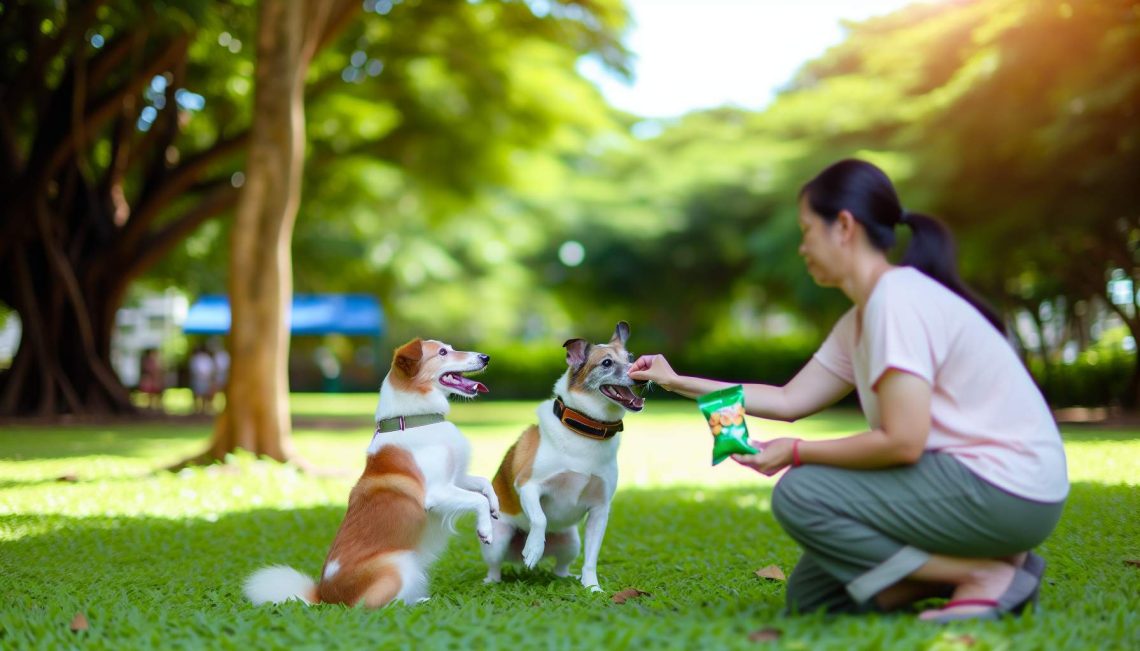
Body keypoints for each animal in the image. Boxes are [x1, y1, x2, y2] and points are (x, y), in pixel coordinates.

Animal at [245, 339, 499, 611]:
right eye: (442, 352)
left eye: (449, 348)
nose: (486, 357)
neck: (415, 419)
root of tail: (326, 597)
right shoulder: (437, 492)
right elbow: (477, 500)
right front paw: (485, 530)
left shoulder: (456, 478)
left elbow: (484, 484)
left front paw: (495, 507)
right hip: (398, 564)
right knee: (375, 607)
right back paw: (419, 601)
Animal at [478, 321, 642, 592]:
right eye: (606, 363)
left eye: (630, 358)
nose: (642, 373)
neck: (586, 430)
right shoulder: (528, 485)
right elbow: (540, 519)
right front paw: (533, 548)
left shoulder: (600, 510)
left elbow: (592, 558)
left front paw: (592, 587)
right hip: (498, 540)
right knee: (494, 565)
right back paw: (495, 579)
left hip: (571, 542)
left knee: (560, 567)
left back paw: (567, 576)